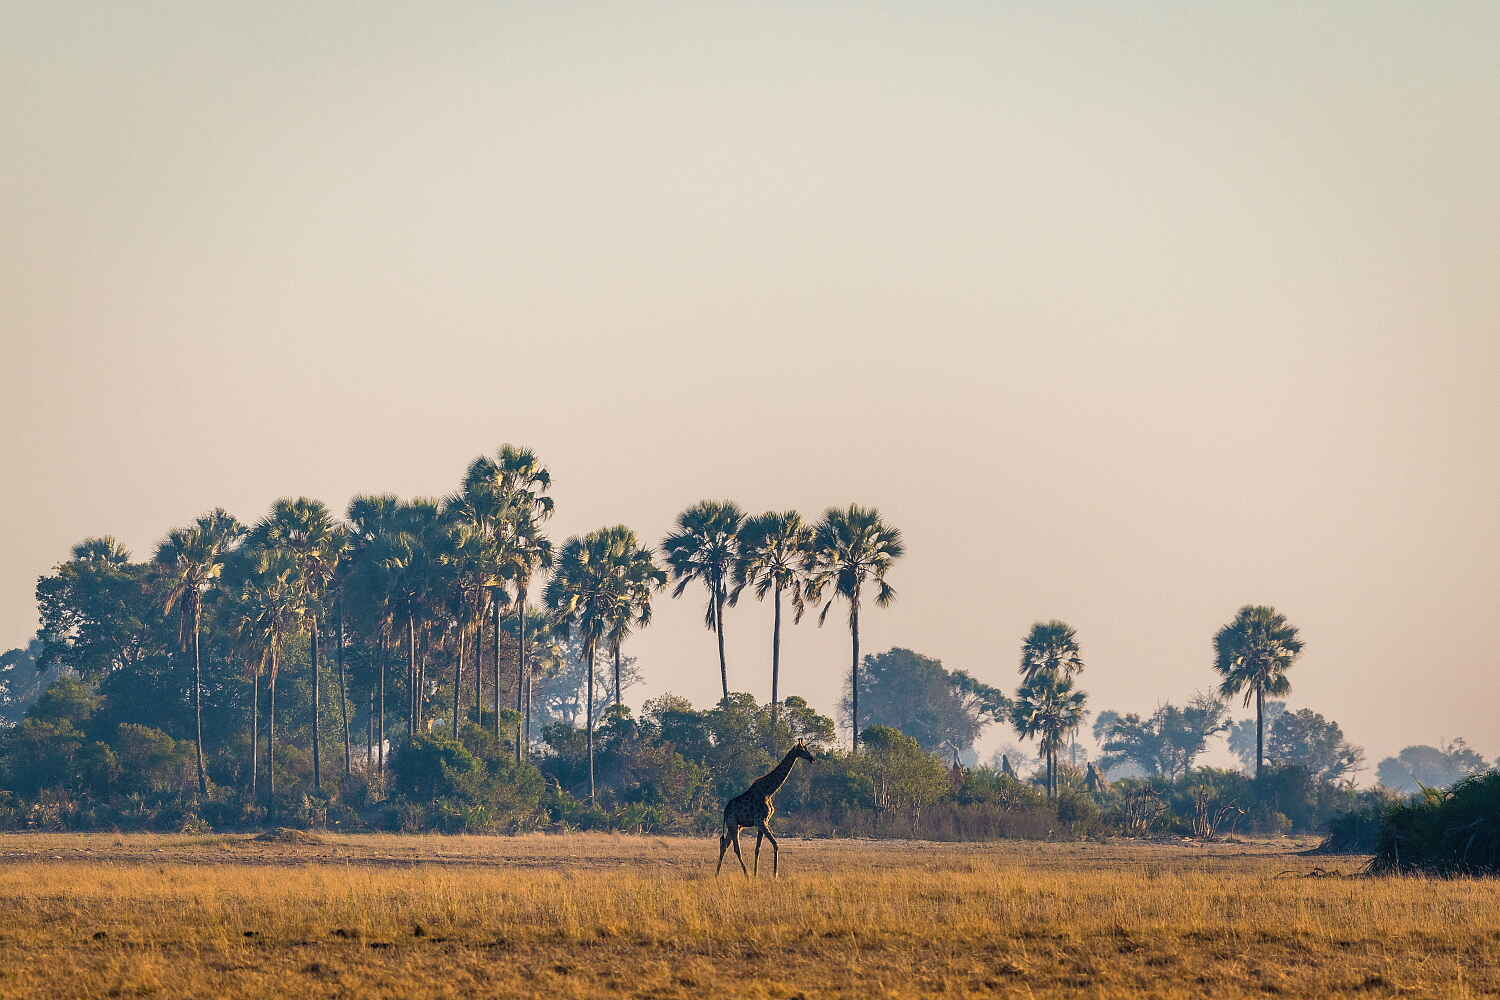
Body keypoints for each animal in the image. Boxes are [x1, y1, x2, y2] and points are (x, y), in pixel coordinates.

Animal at [715, 742, 814, 877]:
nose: (812, 758)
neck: (769, 791)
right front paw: (775, 874)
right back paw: (746, 874)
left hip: (736, 826)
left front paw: (756, 874)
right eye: (803, 749)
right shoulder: (761, 821)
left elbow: (758, 848)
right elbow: (776, 844)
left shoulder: (763, 822)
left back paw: (717, 874)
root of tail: (725, 812)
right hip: (733, 823)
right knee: (736, 849)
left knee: (724, 845)